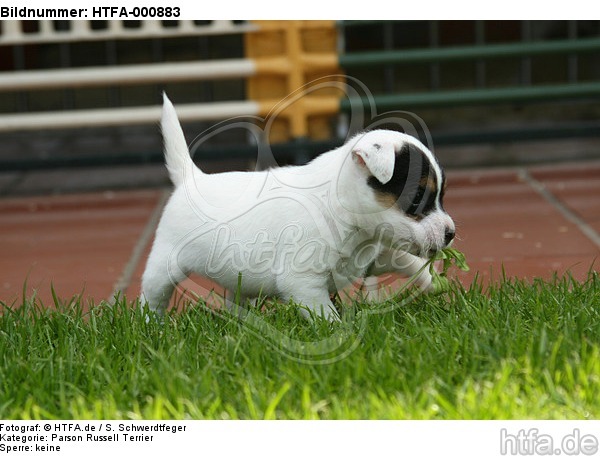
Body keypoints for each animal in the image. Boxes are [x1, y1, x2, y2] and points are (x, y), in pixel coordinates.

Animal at [141, 92, 458, 320]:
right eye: (417, 198)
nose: (451, 233)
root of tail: (191, 178)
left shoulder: (371, 259)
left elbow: (410, 263)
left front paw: (438, 285)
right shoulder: (303, 283)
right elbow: (327, 317)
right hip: (164, 266)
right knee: (151, 297)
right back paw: (153, 327)